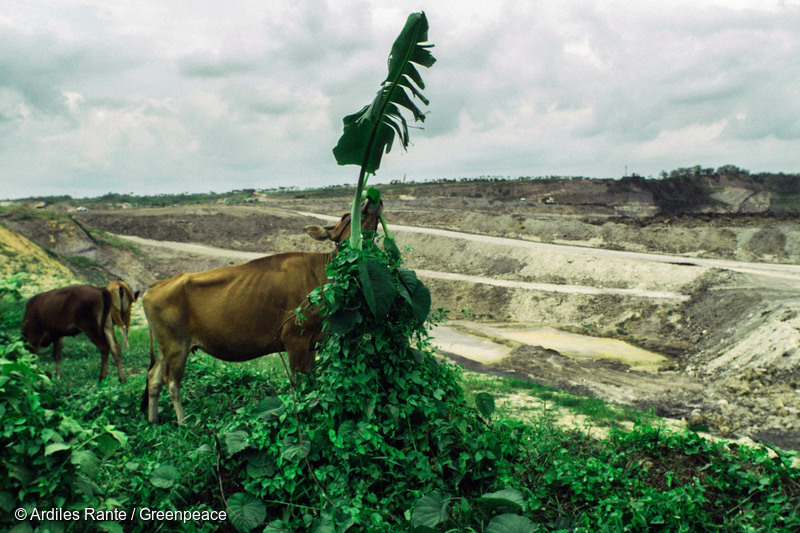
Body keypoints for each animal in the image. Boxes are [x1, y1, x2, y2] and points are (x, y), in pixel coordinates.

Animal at [142, 201, 382, 424]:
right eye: (345, 216)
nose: (369, 201)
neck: (323, 275)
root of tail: (155, 285)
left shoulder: (312, 341)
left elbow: (310, 378)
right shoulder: (294, 339)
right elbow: (299, 383)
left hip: (167, 347)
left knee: (154, 378)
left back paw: (153, 420)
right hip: (177, 346)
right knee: (172, 382)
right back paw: (183, 422)